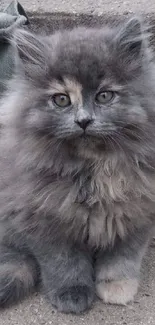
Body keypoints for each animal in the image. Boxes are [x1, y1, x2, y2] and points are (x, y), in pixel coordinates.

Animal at [0, 16, 155, 312]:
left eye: (104, 96)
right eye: (61, 99)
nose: (83, 121)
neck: (94, 168)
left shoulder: (136, 213)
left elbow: (122, 258)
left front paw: (117, 287)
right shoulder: (42, 220)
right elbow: (64, 263)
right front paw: (71, 294)